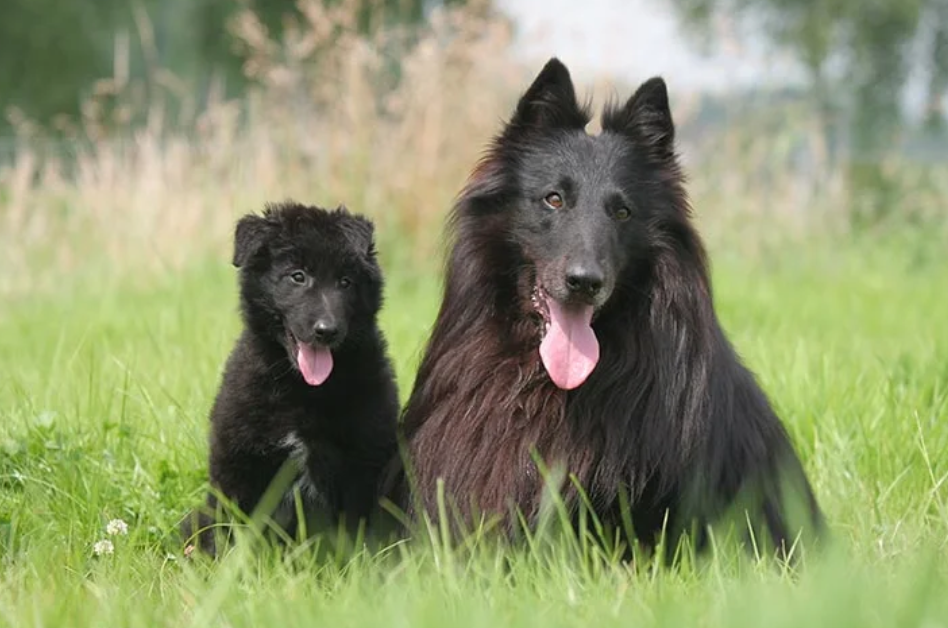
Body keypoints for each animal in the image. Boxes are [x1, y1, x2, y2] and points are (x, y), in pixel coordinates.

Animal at [183, 201, 398, 556]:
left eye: (345, 282)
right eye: (298, 276)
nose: (326, 331)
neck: (304, 390)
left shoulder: (362, 462)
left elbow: (355, 533)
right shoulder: (238, 463)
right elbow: (234, 531)